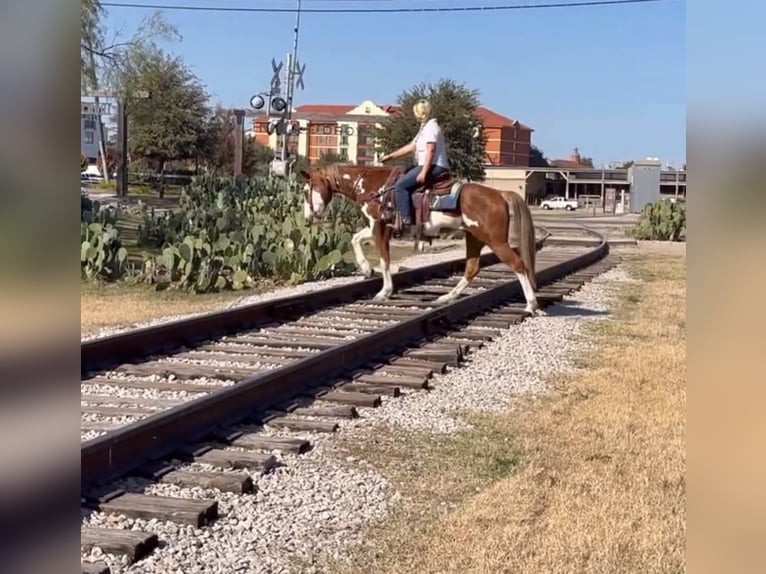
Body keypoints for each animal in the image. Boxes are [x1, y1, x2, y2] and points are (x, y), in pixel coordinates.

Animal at [299, 164, 541, 316]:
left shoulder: (379, 227)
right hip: (474, 237)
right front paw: (366, 268)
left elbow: (384, 260)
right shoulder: (376, 227)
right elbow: (355, 239)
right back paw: (446, 298)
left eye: (305, 190)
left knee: (518, 264)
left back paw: (531, 305)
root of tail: (500, 194)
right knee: (472, 268)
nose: (308, 217)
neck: (373, 186)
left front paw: (384, 291)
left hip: (495, 241)